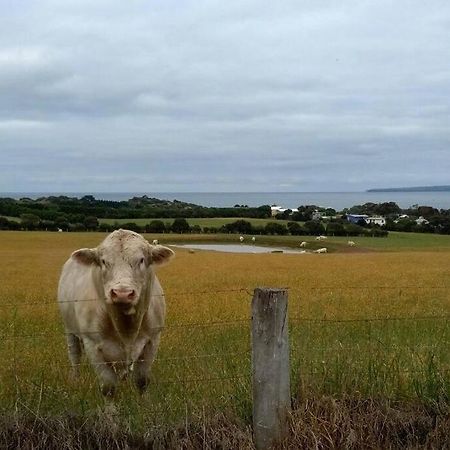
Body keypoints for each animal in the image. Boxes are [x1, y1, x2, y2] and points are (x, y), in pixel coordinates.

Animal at [58, 230, 174, 396]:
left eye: (141, 260)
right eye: (104, 261)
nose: (122, 293)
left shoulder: (152, 340)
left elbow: (142, 381)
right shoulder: (92, 345)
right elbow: (108, 386)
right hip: (70, 331)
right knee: (75, 357)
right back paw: (75, 379)